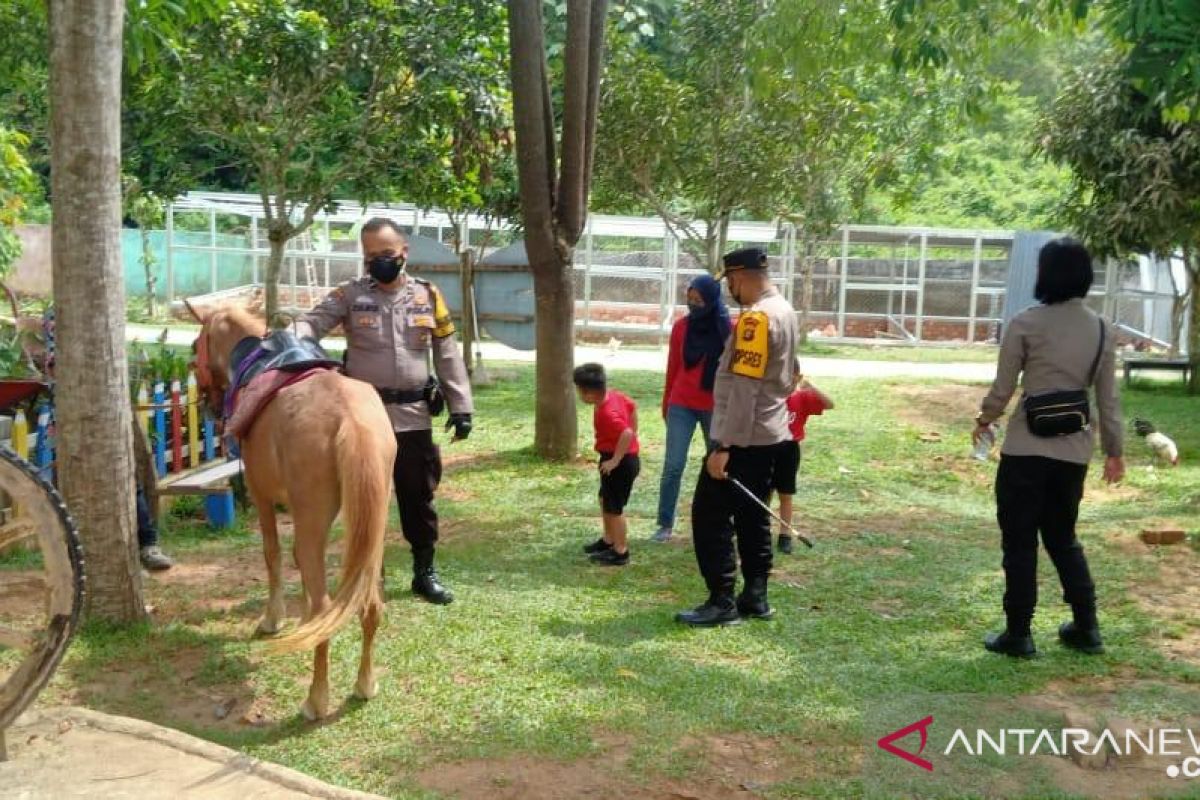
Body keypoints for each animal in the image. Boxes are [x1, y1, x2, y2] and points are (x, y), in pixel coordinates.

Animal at [184, 303, 396, 724]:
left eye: (196, 345)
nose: (207, 406)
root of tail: (352, 421)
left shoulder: (261, 494)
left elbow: (272, 554)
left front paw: (273, 618)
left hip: (313, 520)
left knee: (326, 606)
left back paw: (316, 700)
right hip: (374, 525)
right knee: (368, 604)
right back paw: (365, 684)